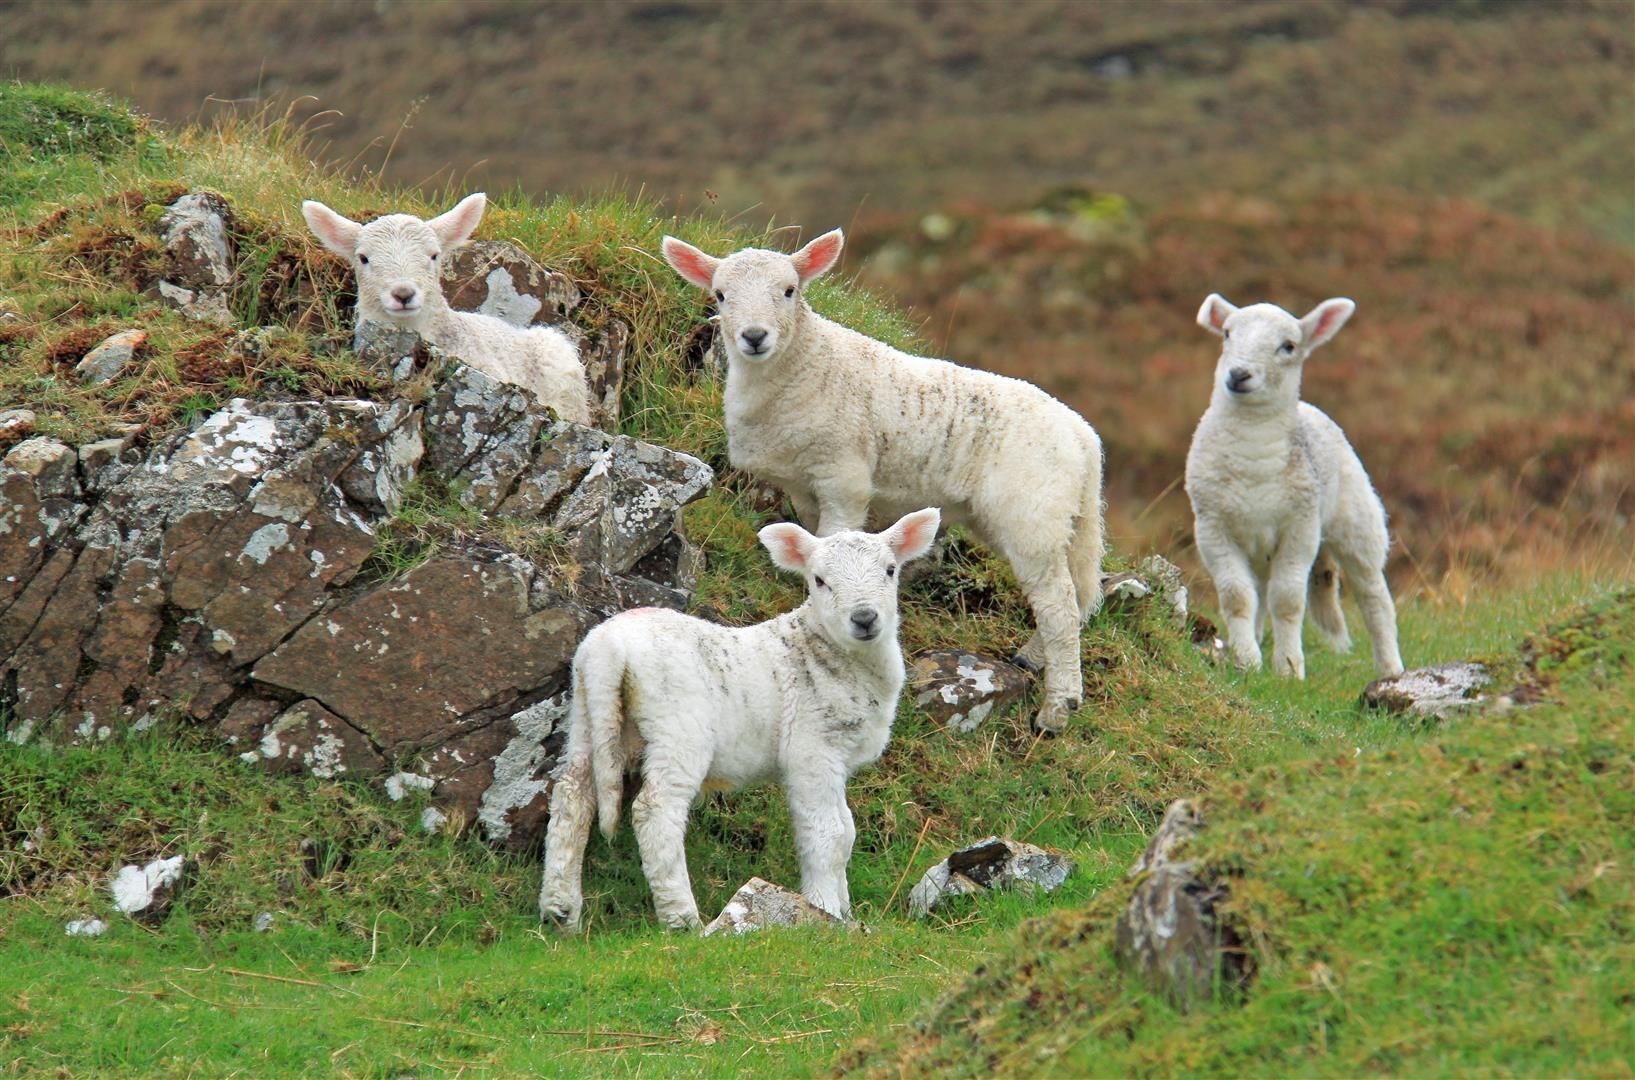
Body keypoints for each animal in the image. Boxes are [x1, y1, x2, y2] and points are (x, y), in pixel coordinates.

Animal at [539, 506, 941, 928]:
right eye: (819, 580)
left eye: (890, 570)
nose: (864, 618)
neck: (833, 651)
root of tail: (609, 648)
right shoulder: (812, 749)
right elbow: (828, 833)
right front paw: (825, 909)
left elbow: (847, 832)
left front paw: (845, 910)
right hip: (678, 725)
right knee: (655, 810)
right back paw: (682, 918)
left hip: (590, 713)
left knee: (572, 797)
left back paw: (560, 912)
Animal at [657, 227, 1105, 731]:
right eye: (720, 294)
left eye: (790, 290)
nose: (754, 337)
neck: (803, 367)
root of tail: (1084, 439)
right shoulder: (803, 483)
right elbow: (814, 539)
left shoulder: (843, 474)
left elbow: (839, 533)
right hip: (1045, 516)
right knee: (1079, 592)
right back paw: (1033, 657)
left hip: (1032, 511)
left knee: (1058, 605)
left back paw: (1058, 706)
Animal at [1190, 292, 1406, 682]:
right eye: (1227, 333)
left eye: (1288, 346)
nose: (1238, 374)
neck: (1254, 457)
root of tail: (1310, 407)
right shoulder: (1212, 527)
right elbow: (1237, 597)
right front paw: (1247, 662)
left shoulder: (1300, 526)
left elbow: (1288, 600)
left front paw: (1289, 668)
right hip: (1260, 549)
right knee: (1260, 591)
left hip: (1358, 524)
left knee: (1374, 597)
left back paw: (1390, 670)